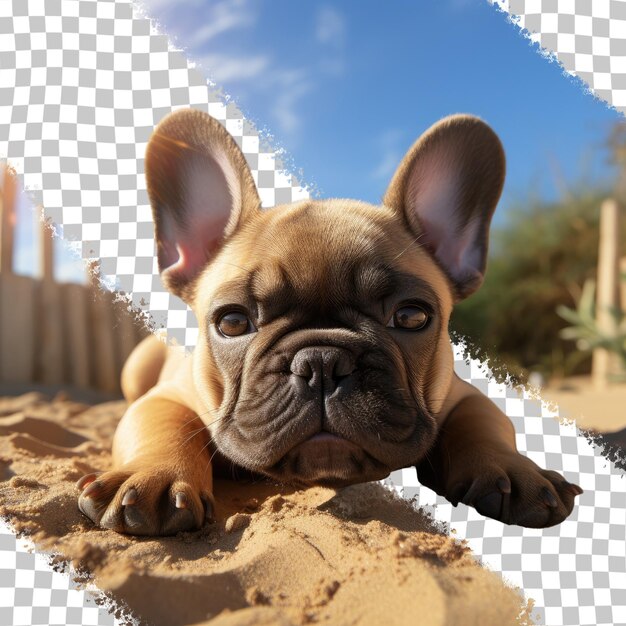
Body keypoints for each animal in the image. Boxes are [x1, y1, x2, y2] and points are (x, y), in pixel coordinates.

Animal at [77, 106, 580, 532]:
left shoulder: (461, 395)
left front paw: (515, 470)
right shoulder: (169, 397)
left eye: (411, 316)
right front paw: (155, 478)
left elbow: (485, 424)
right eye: (233, 322)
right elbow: (163, 425)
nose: (321, 362)